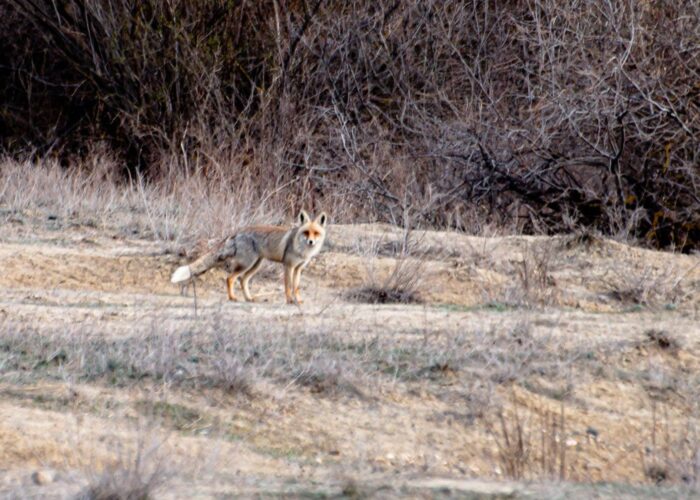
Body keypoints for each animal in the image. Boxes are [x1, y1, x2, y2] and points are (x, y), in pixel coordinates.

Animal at [170, 210, 327, 305]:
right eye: (306, 232)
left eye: (316, 233)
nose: (311, 242)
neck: (302, 250)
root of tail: (238, 231)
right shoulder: (288, 266)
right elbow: (288, 286)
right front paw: (289, 300)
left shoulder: (299, 268)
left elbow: (296, 287)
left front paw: (298, 301)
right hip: (247, 264)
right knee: (230, 278)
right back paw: (233, 297)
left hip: (255, 265)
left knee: (243, 280)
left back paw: (249, 298)